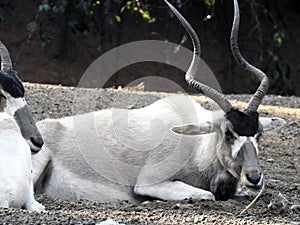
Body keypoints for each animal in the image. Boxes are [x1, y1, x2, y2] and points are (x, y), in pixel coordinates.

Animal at [31, 0, 284, 203]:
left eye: (259, 133)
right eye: (228, 133)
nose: (254, 177)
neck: (197, 147)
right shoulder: (150, 182)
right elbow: (206, 194)